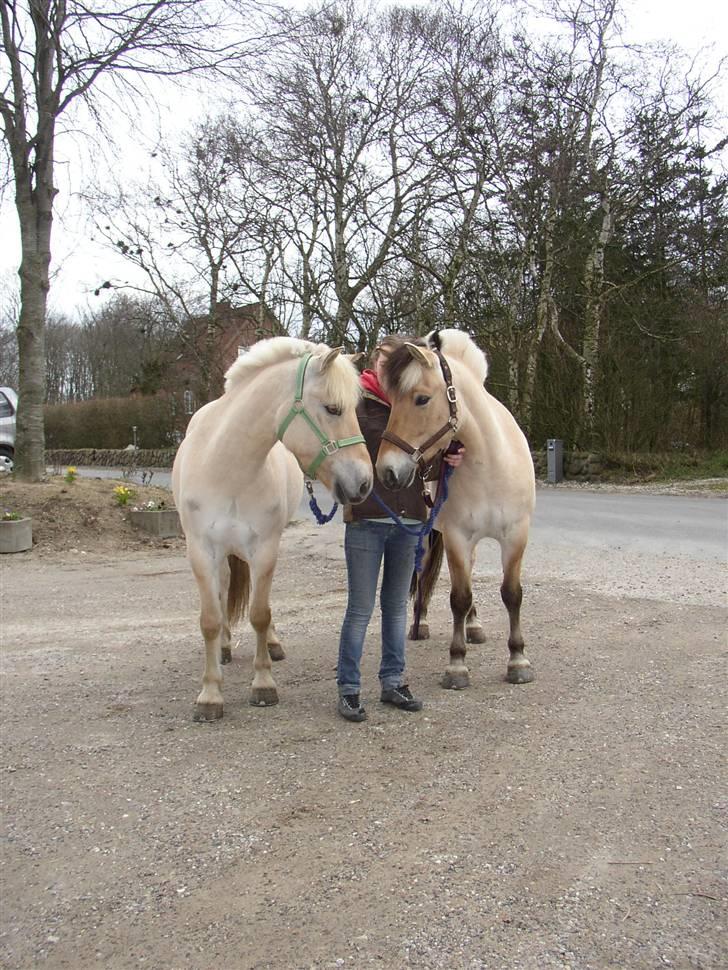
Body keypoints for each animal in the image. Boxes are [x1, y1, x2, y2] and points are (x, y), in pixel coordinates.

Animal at [173, 336, 372, 716]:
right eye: (333, 408)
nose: (365, 483)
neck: (228, 469)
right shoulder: (200, 551)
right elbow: (209, 618)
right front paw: (210, 693)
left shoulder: (264, 548)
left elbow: (260, 614)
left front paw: (263, 682)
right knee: (223, 591)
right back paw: (224, 647)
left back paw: (273, 644)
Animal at [376, 330, 536, 688]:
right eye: (391, 401)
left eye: (421, 399)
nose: (388, 471)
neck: (491, 464)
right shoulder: (457, 537)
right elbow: (458, 598)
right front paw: (456, 665)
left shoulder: (515, 535)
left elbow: (512, 594)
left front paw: (518, 660)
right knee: (424, 575)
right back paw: (420, 624)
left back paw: (474, 626)